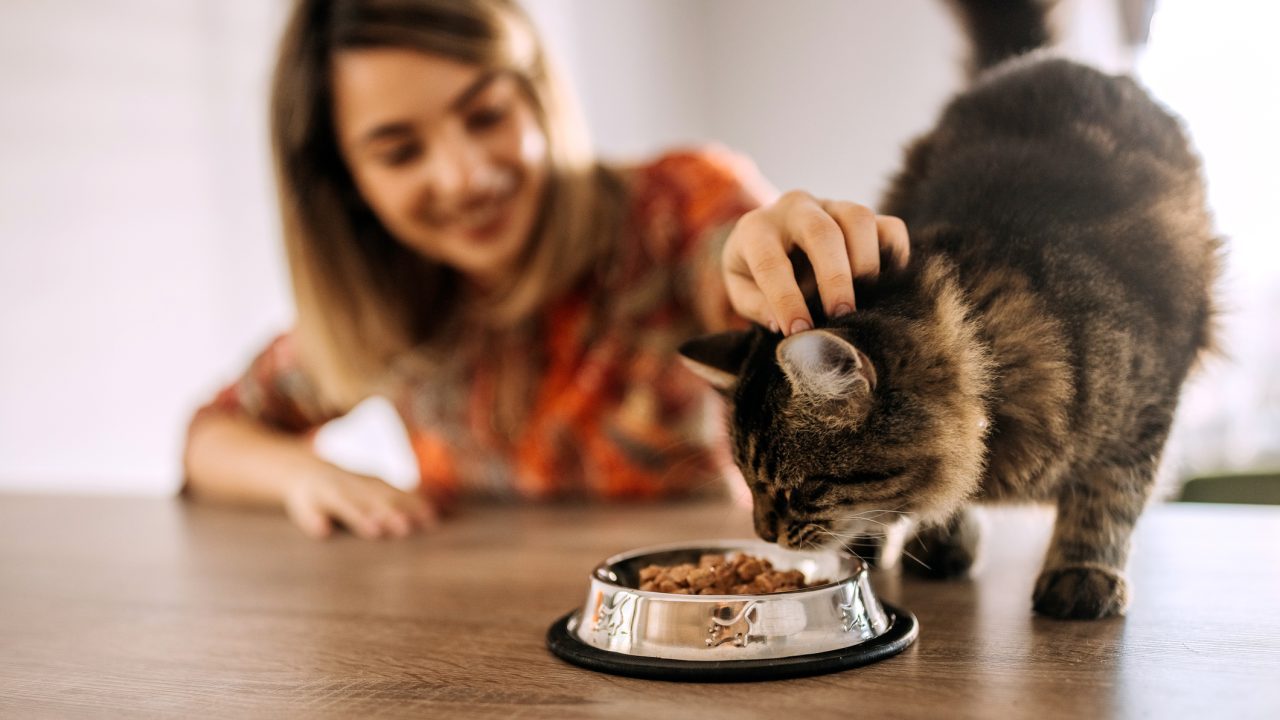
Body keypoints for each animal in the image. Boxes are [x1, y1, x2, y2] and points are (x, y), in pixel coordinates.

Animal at [680, 0, 1218, 617]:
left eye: (801, 489)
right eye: (745, 480)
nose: (763, 533)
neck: (987, 344)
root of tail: (1038, 60)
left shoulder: (1145, 411)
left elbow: (1107, 497)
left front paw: (1082, 572)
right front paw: (941, 539)